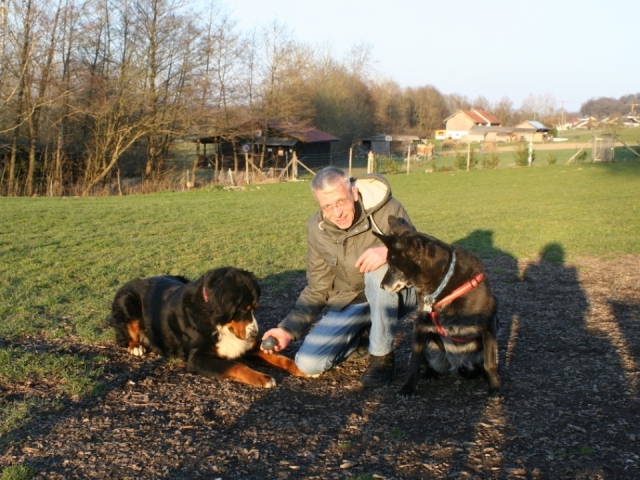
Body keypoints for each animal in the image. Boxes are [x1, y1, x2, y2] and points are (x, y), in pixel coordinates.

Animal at [107, 266, 308, 386]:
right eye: (243, 309)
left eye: (255, 308)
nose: (254, 334)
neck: (217, 321)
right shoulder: (198, 358)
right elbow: (236, 365)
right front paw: (262, 377)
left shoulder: (246, 346)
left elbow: (281, 358)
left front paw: (301, 368)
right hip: (127, 300)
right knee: (124, 338)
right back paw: (136, 347)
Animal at [376, 216, 500, 396]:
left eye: (393, 266)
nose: (381, 286)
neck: (444, 284)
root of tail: (457, 365)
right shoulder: (421, 325)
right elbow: (414, 361)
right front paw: (408, 387)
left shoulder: (488, 325)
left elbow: (490, 362)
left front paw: (495, 386)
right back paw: (430, 373)